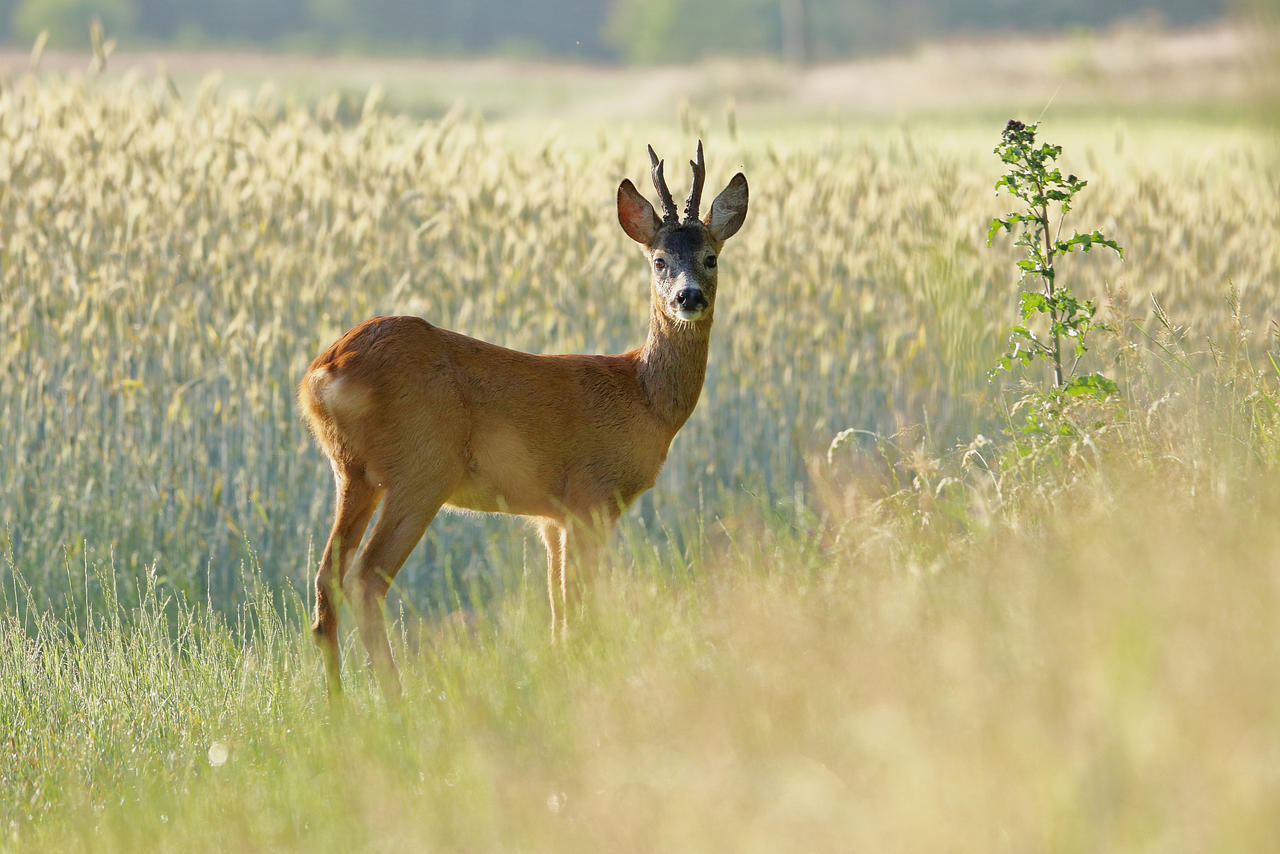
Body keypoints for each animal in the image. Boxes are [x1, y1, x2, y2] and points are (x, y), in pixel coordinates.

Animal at [295, 142, 747, 701]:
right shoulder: (591, 495)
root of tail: (321, 374)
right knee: (365, 578)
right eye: (659, 261)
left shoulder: (551, 516)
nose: (689, 297)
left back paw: (338, 706)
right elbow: (584, 609)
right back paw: (395, 700)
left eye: (711, 257)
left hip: (353, 473)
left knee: (324, 580)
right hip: (421, 469)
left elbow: (559, 616)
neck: (643, 396)